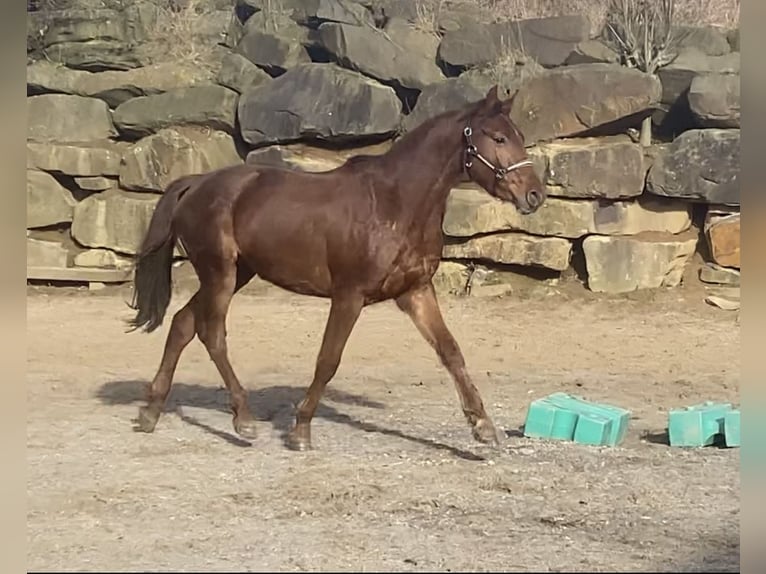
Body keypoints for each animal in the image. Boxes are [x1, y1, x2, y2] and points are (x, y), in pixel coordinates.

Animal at [127, 85, 544, 452]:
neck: (395, 203)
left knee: (183, 323)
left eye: (519, 135)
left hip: (238, 273)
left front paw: (483, 428)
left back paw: (150, 412)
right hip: (221, 275)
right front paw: (300, 430)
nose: (535, 195)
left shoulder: (415, 291)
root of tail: (196, 183)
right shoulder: (349, 295)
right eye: (498, 137)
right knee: (211, 333)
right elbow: (328, 359)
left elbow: (451, 351)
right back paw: (243, 419)